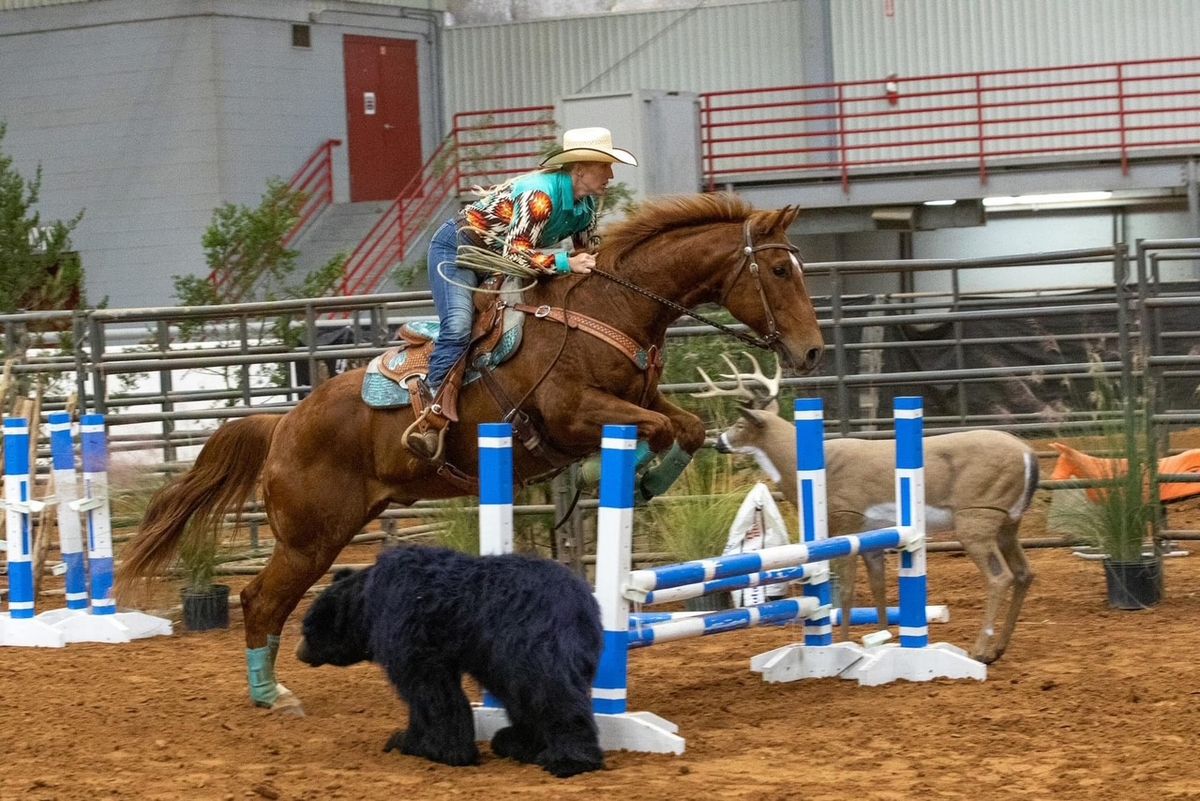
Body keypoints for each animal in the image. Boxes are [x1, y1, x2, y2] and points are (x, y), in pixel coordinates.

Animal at [114, 191, 825, 714]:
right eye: (779, 269)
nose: (813, 350)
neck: (613, 306)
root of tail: (284, 422)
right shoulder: (575, 414)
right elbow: (652, 428)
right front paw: (622, 477)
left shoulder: (642, 404)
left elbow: (688, 427)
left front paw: (642, 481)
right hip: (310, 538)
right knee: (259, 600)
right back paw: (272, 696)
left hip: (328, 532)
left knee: (266, 600)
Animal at [296, 544, 604, 777]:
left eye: (307, 630)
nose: (299, 653)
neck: (368, 604)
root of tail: (581, 601)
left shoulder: (407, 626)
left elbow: (429, 689)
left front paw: (426, 746)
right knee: (523, 696)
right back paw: (516, 742)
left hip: (530, 639)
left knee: (551, 693)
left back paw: (569, 760)